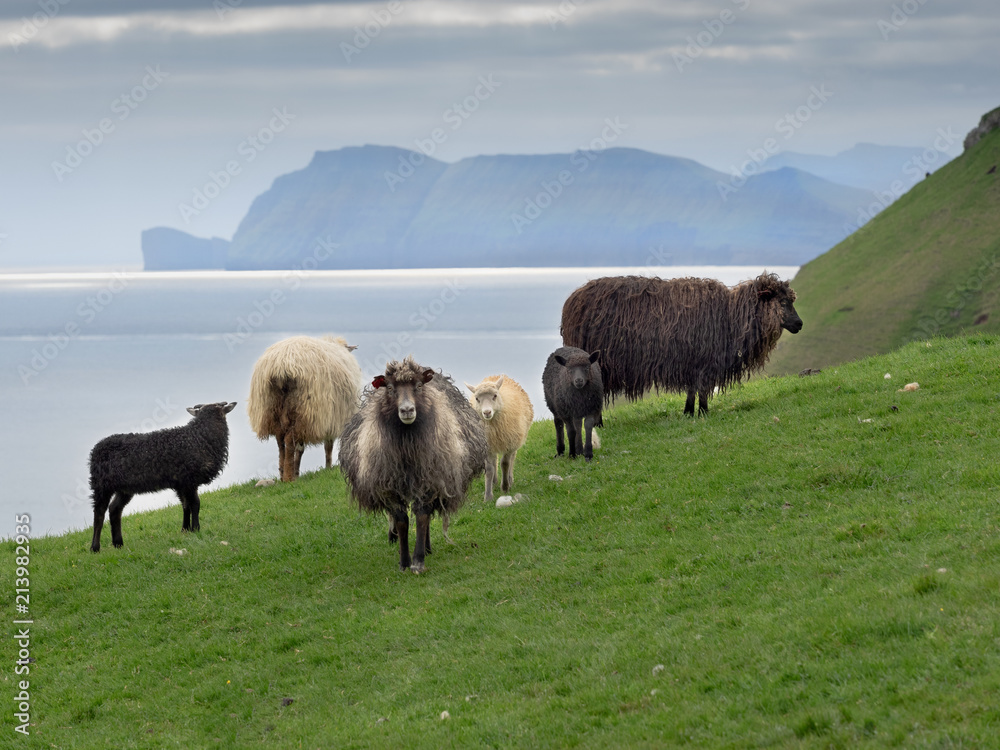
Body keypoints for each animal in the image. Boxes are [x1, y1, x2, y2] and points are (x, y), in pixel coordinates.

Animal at [89, 401, 236, 552]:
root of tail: (95, 450)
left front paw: (185, 530)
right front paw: (196, 528)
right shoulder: (189, 479)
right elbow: (195, 503)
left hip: (124, 488)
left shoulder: (181, 483)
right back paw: (95, 548)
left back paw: (118, 543)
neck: (199, 438)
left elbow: (186, 505)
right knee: (99, 514)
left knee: (114, 509)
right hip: (101, 485)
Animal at [247, 335, 362, 482]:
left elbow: (301, 448)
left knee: (280, 441)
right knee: (289, 441)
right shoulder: (330, 419)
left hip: (271, 409)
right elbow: (327, 446)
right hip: (304, 410)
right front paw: (328, 467)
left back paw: (283, 473)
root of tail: (281, 366)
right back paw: (289, 477)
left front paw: (298, 472)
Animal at [339, 357, 488, 573]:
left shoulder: (430, 480)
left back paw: (426, 548)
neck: (407, 449)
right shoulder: (389, 487)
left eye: (418, 386)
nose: (407, 410)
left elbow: (422, 516)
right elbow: (402, 521)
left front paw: (418, 561)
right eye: (390, 388)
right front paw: (404, 562)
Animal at [465, 375, 534, 503]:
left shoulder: (510, 442)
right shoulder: (487, 446)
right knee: (494, 461)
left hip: (516, 438)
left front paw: (505, 487)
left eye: (495, 395)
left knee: (512, 458)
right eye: (477, 399)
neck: (492, 425)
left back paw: (509, 479)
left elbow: (505, 464)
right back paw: (494, 481)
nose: (487, 412)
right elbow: (489, 469)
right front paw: (488, 496)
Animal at [560, 272, 803, 416]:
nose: (800, 324)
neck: (731, 315)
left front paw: (688, 412)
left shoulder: (693, 362)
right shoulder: (704, 361)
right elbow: (701, 388)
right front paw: (703, 412)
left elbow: (692, 389)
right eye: (783, 302)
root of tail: (572, 300)